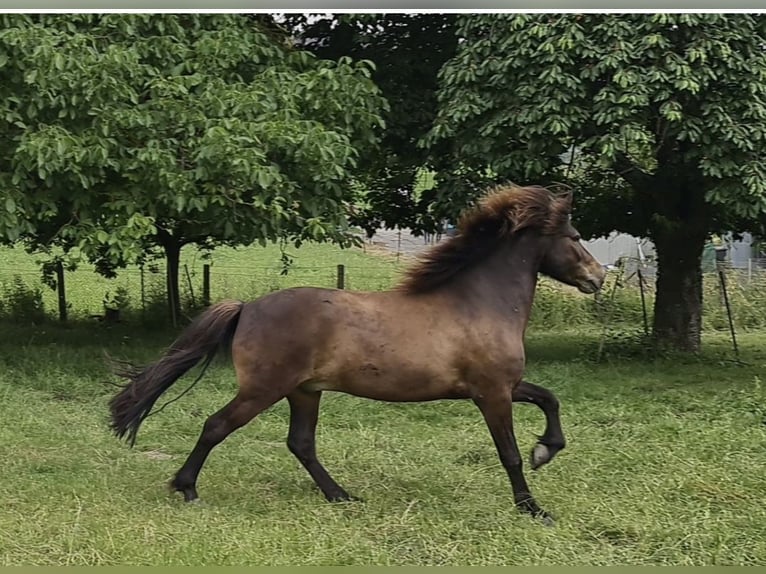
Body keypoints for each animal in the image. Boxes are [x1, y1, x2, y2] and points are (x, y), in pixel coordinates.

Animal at [109, 184, 608, 528]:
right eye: (575, 235)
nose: (599, 277)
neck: (478, 303)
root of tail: (247, 307)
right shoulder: (492, 393)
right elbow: (509, 454)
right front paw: (534, 508)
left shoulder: (504, 386)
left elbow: (549, 399)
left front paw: (546, 450)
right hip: (264, 389)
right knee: (217, 426)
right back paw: (187, 488)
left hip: (304, 391)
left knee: (301, 443)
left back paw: (341, 496)